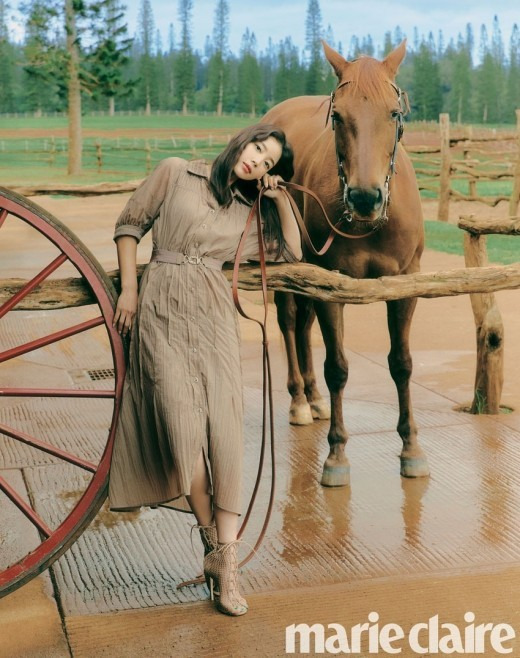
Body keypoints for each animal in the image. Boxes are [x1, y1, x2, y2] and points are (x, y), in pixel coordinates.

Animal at [264, 39, 430, 482]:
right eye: (337, 116)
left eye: (394, 113)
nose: (364, 198)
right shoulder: (330, 285)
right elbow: (337, 367)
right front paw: (336, 455)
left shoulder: (406, 284)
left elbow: (402, 364)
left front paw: (411, 448)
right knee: (291, 322)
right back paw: (299, 401)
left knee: (303, 325)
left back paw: (314, 398)